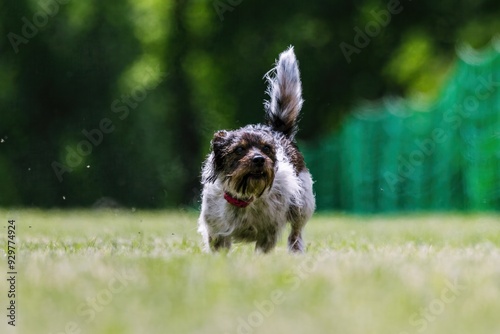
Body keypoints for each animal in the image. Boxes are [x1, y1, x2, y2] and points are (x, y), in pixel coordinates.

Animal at [197, 46, 314, 253]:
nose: (259, 159)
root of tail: (278, 131)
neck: (244, 198)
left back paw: (296, 251)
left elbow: (263, 251)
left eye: (266, 148)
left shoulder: (268, 235)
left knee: (296, 233)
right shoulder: (216, 234)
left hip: (302, 206)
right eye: (239, 150)